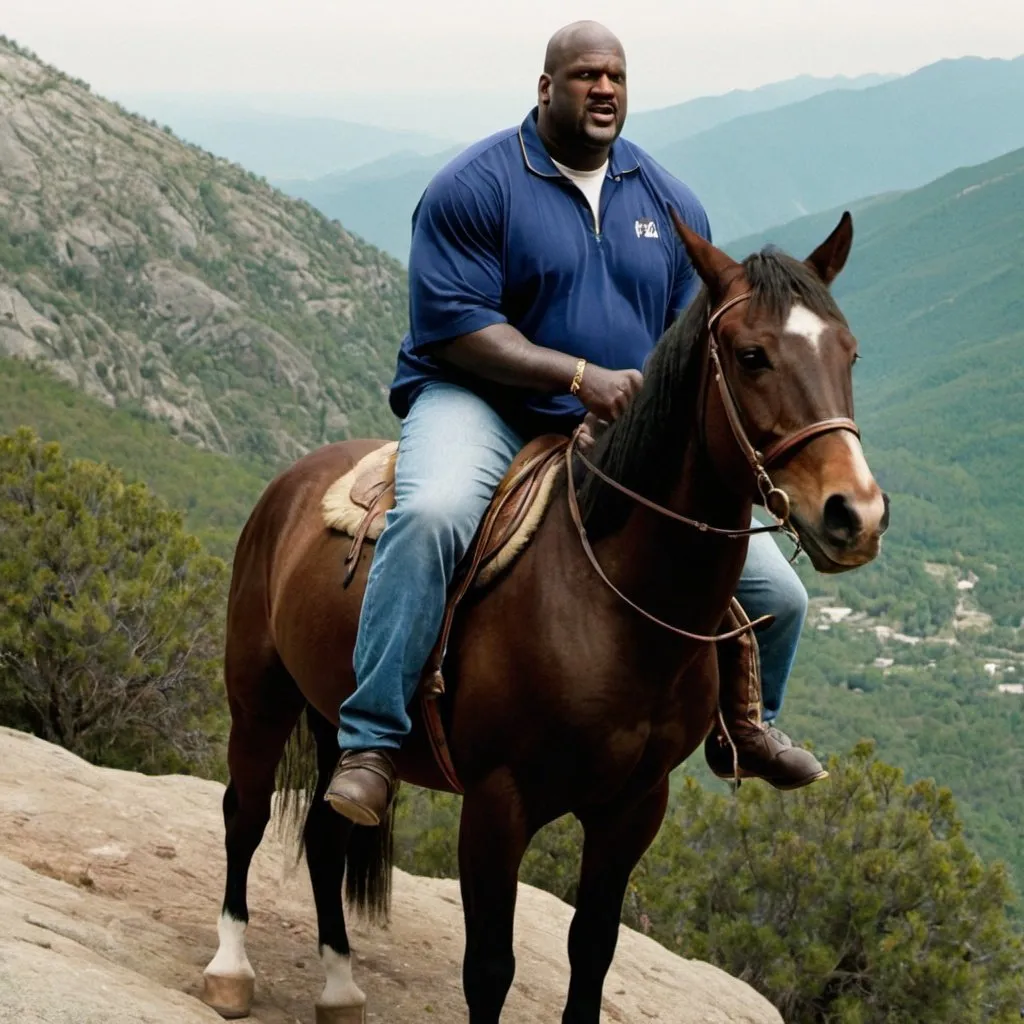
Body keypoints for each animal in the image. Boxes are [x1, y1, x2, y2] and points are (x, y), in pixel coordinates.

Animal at [199, 211, 888, 1019]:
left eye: (849, 352)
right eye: (752, 356)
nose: (855, 514)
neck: (618, 611)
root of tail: (293, 481)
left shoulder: (634, 808)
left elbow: (592, 954)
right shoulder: (498, 803)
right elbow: (490, 969)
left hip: (334, 718)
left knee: (327, 834)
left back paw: (340, 985)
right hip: (261, 696)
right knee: (244, 813)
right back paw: (230, 969)